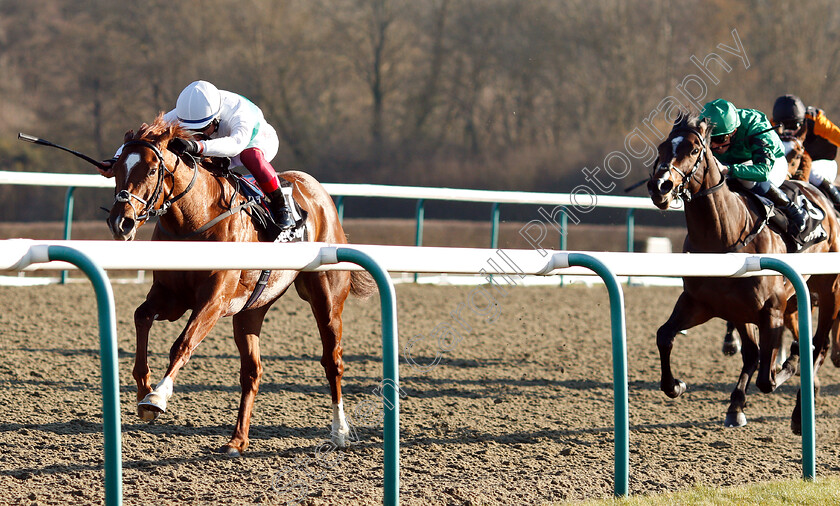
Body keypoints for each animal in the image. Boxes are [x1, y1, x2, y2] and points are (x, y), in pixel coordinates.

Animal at [105, 115, 374, 458]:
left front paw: (157, 397)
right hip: (250, 310)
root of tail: (316, 190)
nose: (120, 223)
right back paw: (238, 439)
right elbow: (141, 317)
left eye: (152, 170)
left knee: (332, 361)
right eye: (116, 168)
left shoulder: (214, 301)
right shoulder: (170, 297)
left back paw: (339, 431)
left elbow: (182, 343)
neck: (195, 220)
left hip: (327, 301)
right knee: (252, 372)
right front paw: (144, 388)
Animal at [648, 113, 836, 430]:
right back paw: (738, 404)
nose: (659, 185)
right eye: (662, 147)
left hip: (829, 290)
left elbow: (768, 378)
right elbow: (665, 335)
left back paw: (800, 410)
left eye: (694, 150)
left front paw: (789, 365)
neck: (724, 236)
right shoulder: (703, 304)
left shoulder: (771, 311)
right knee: (757, 353)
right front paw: (676, 385)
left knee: (818, 347)